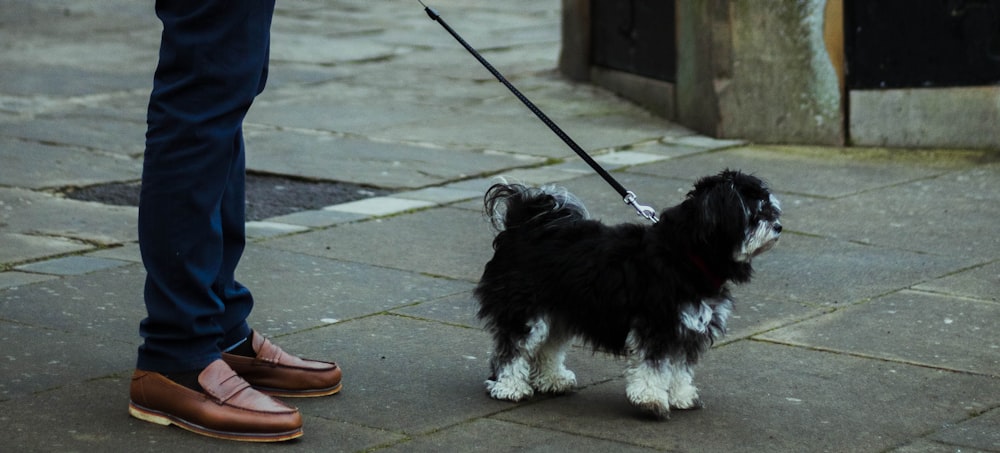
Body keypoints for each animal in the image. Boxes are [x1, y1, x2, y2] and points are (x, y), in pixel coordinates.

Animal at [476, 169, 780, 416]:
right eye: (755, 212)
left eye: (770, 208)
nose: (778, 226)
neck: (686, 255)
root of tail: (521, 227)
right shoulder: (657, 325)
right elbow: (654, 366)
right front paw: (651, 399)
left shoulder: (687, 330)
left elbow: (680, 368)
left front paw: (681, 395)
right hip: (526, 311)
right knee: (512, 349)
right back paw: (509, 386)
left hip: (558, 312)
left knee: (548, 347)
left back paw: (552, 379)